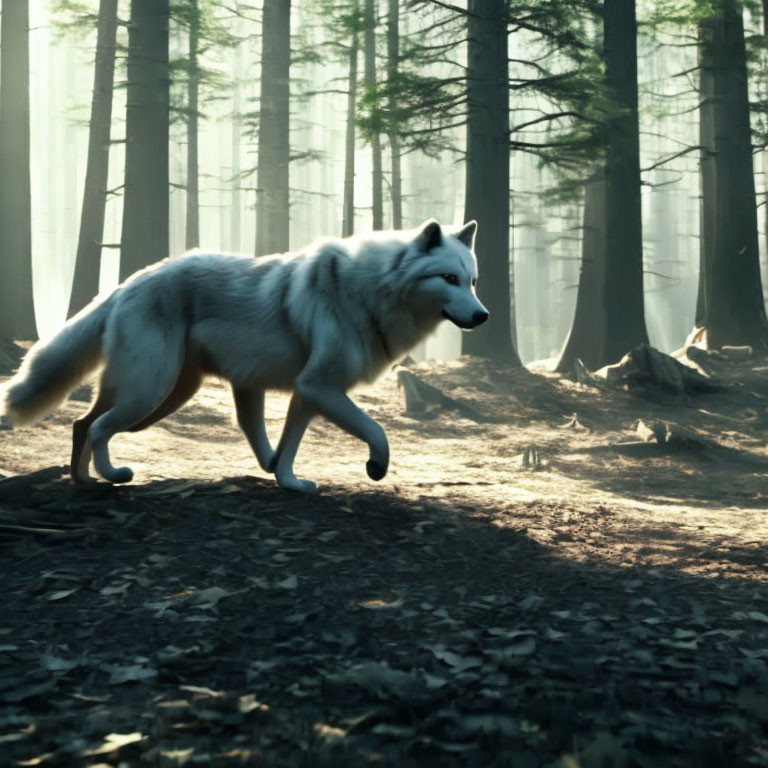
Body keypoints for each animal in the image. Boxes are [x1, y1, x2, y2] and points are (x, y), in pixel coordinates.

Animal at [0, 219, 488, 492]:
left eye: (472, 281)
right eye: (448, 278)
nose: (483, 316)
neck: (371, 290)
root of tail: (129, 281)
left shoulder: (308, 394)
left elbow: (286, 450)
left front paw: (290, 484)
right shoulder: (320, 387)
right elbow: (377, 431)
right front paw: (375, 467)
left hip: (161, 392)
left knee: (82, 423)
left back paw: (83, 482)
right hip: (150, 393)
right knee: (99, 427)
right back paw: (114, 477)